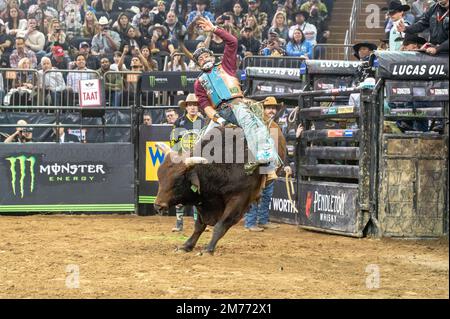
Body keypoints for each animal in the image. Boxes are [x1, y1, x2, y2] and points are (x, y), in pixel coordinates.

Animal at [155, 120, 286, 255]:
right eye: (160, 178)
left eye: (178, 182)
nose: (158, 205)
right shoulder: (203, 201)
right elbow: (199, 226)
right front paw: (186, 245)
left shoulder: (239, 199)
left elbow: (221, 225)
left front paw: (208, 249)